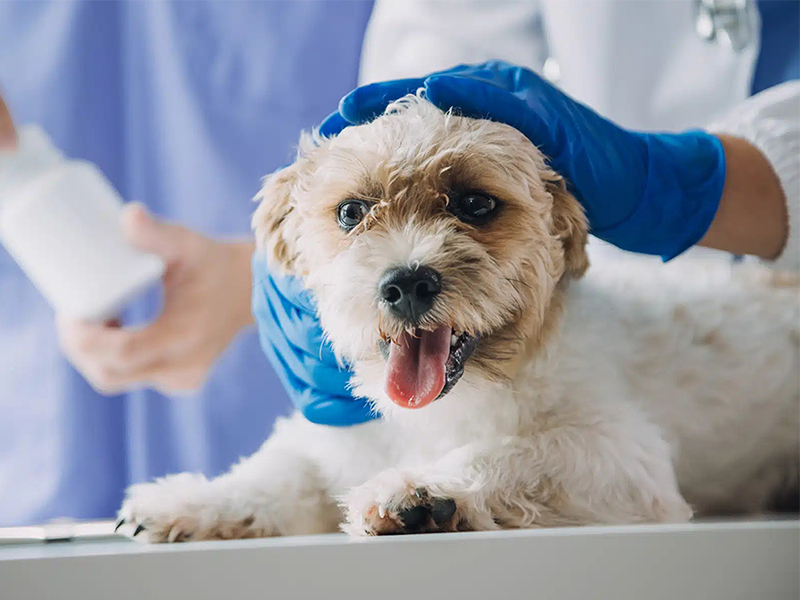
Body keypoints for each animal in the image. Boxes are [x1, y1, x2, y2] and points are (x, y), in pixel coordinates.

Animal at [115, 96, 796, 540]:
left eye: (475, 204)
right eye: (351, 212)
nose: (406, 282)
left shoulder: (623, 456)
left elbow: (514, 453)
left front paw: (422, 490)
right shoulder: (328, 442)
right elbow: (270, 476)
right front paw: (190, 501)